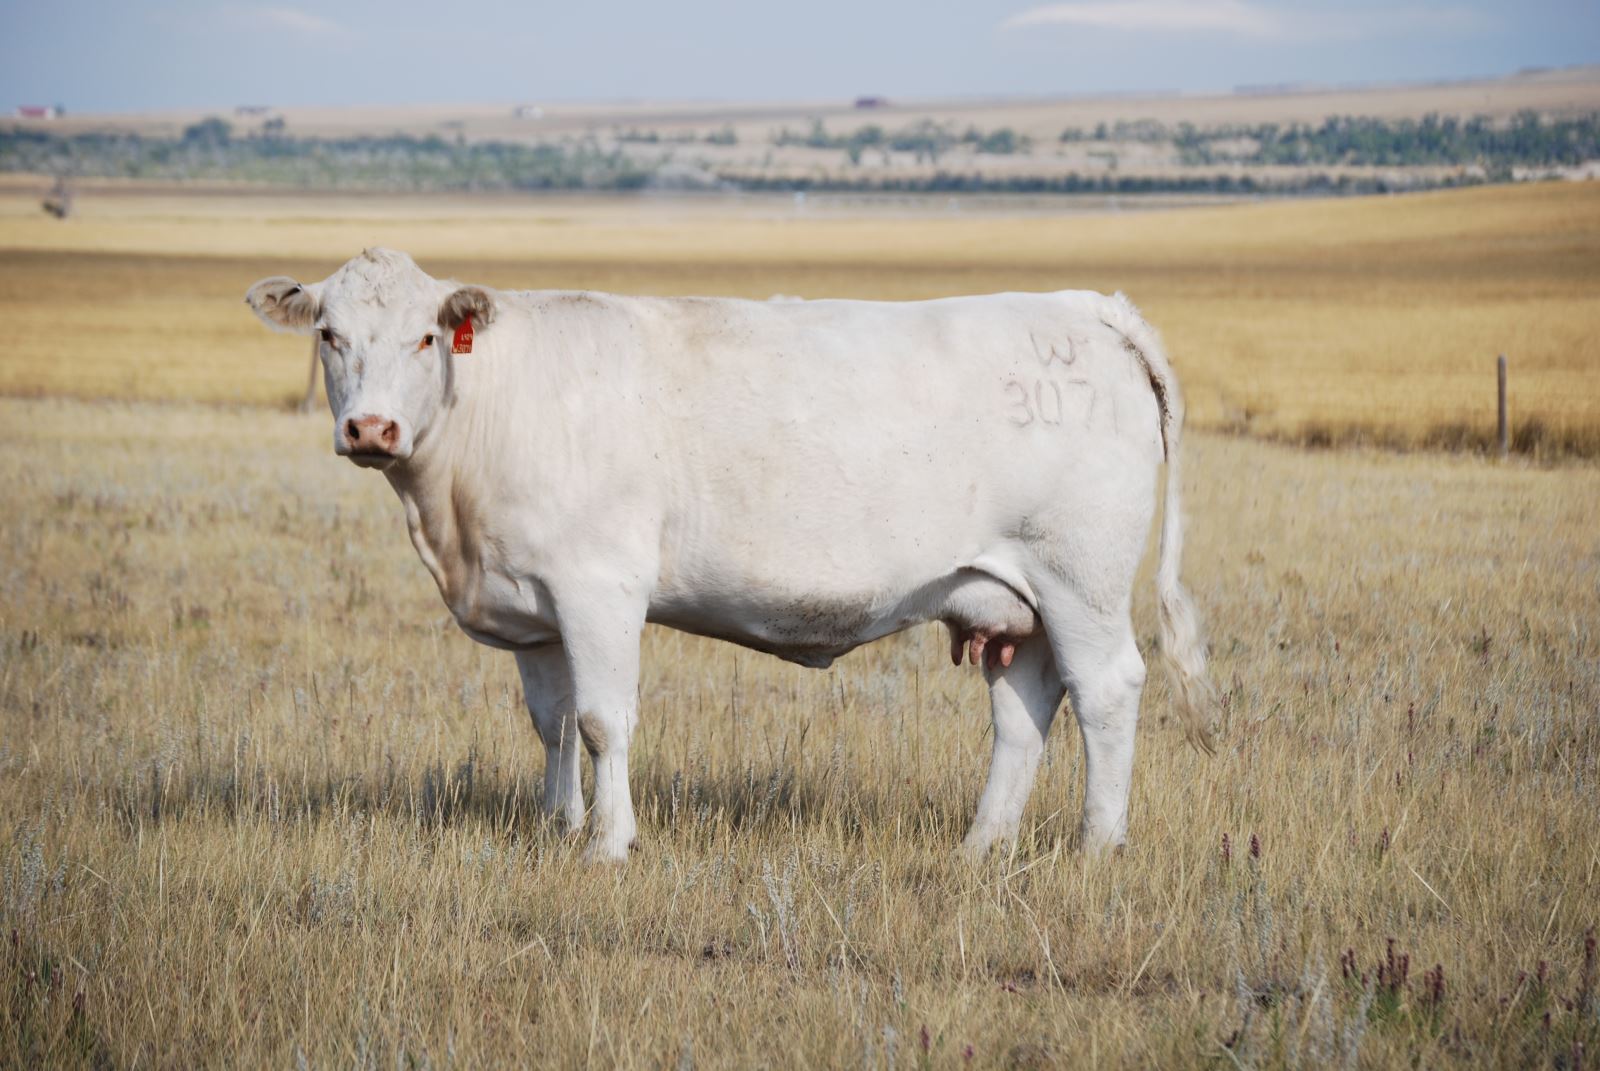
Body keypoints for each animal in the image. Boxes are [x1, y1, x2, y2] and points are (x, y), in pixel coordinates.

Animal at [245, 248, 1217, 863]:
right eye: (329, 334)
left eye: (425, 337)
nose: (371, 427)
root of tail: (1087, 307)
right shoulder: (535, 607)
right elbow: (552, 723)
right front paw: (558, 827)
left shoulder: (600, 588)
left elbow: (603, 720)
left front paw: (609, 844)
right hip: (1016, 598)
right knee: (1024, 708)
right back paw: (982, 845)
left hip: (1081, 580)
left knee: (1105, 691)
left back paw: (1097, 845)